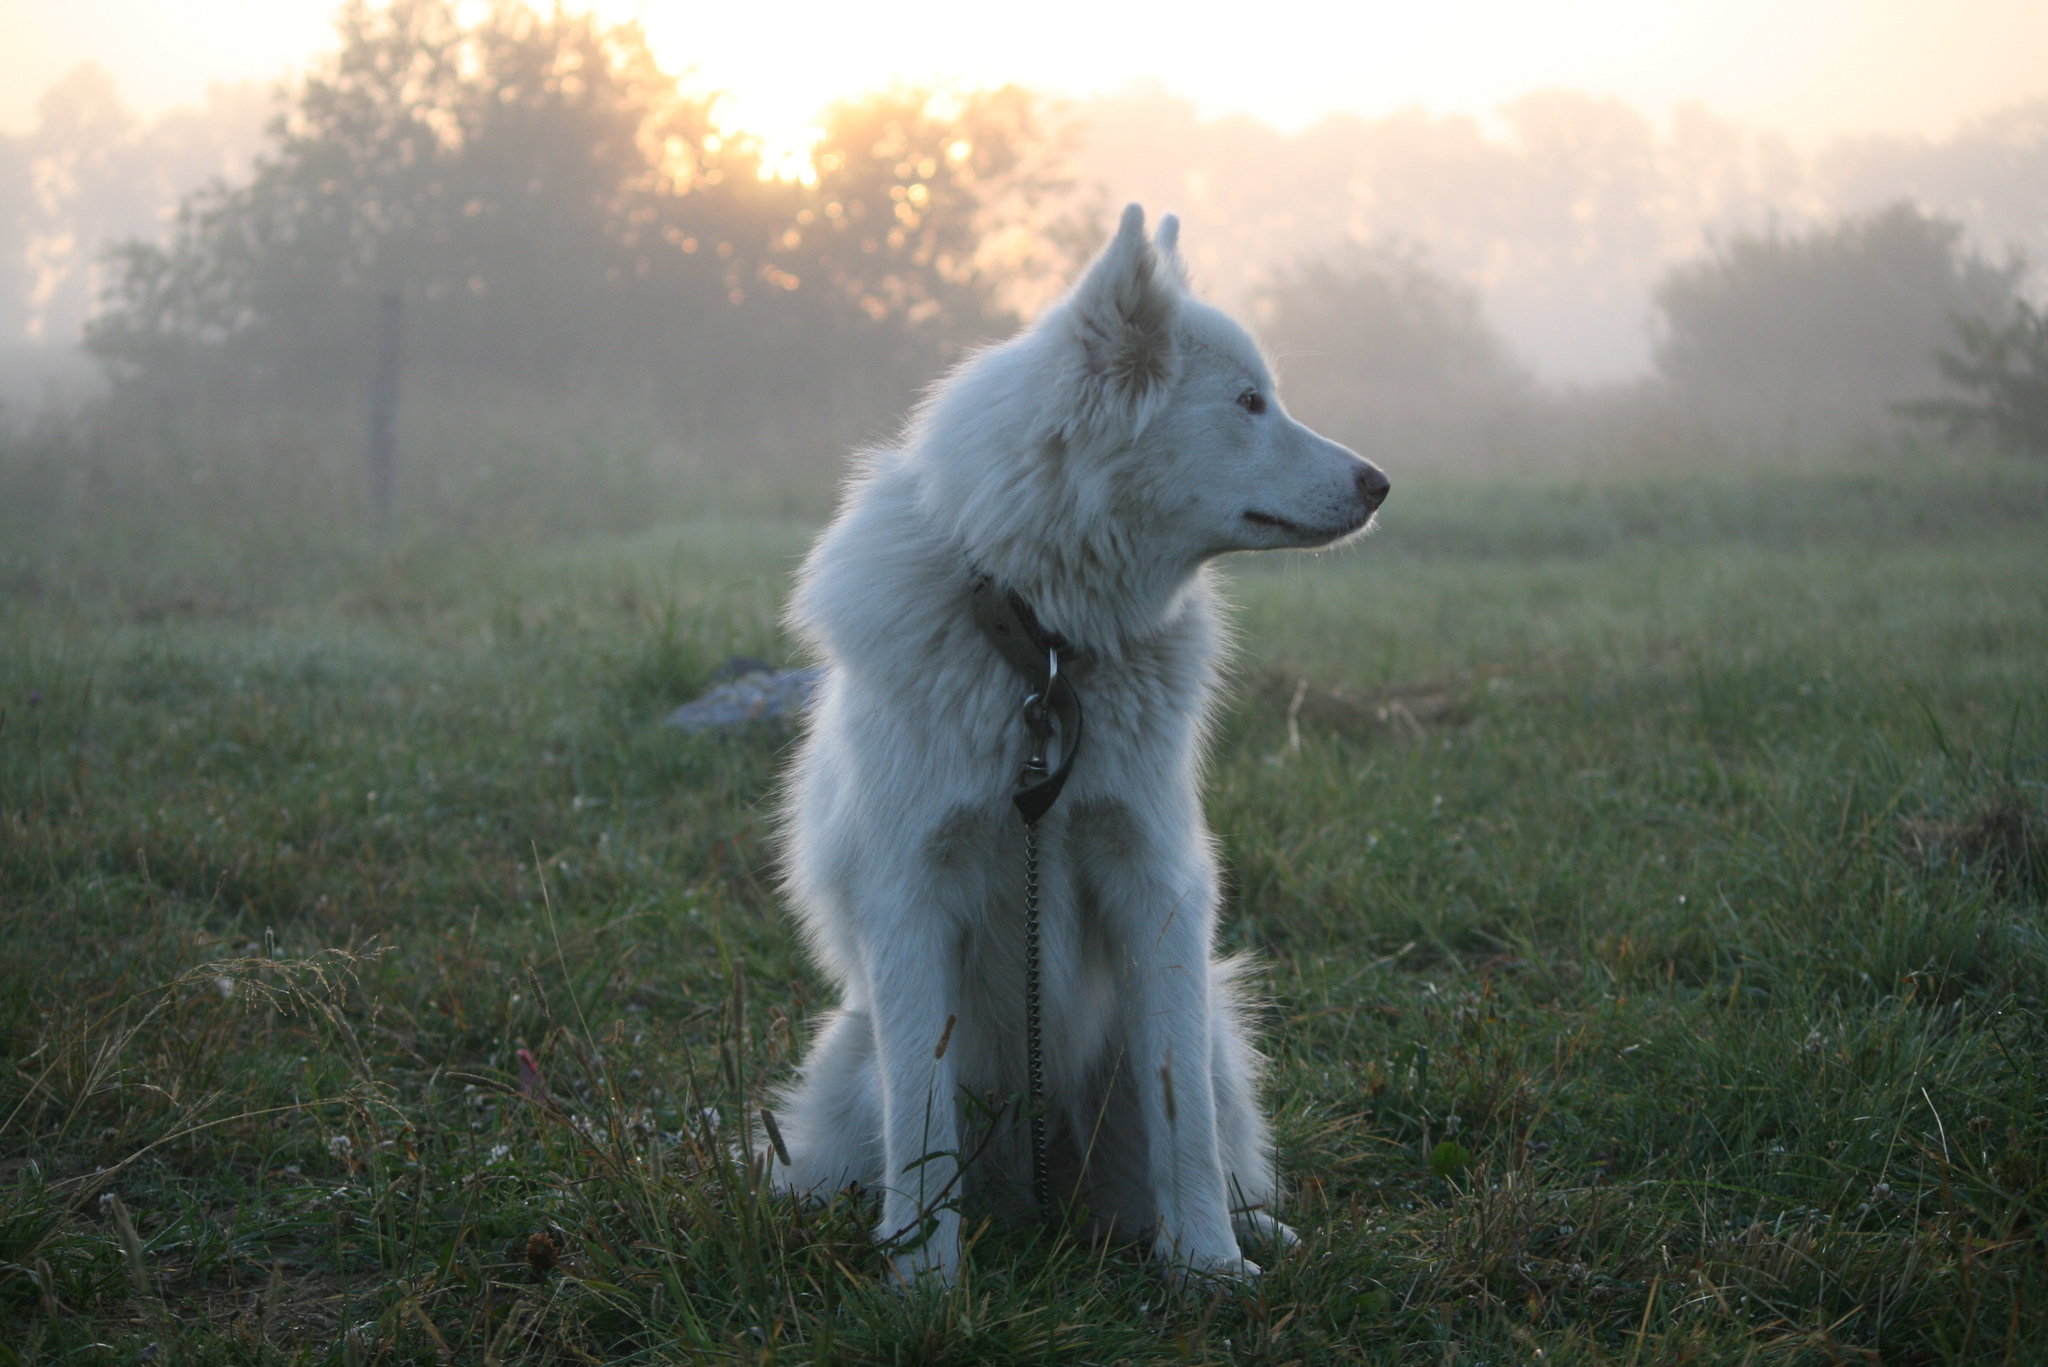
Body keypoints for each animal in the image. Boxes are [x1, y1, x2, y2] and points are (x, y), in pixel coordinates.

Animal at [770, 202, 1392, 1287]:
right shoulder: (911, 896)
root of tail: (1043, 1197)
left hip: (1209, 1032)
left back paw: (1251, 1230)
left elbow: (1182, 1115)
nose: (1381, 482)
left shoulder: (1156, 878)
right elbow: (920, 1118)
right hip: (851, 1064)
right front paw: (926, 1288)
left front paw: (1209, 1268)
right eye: (1247, 402)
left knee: (1211, 1140)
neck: (1045, 657)